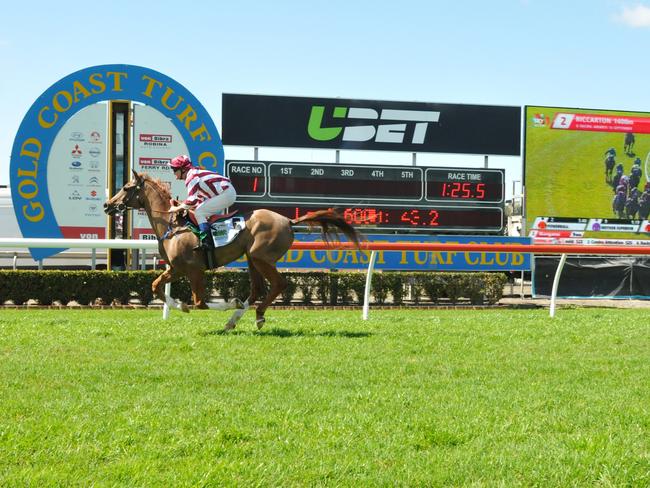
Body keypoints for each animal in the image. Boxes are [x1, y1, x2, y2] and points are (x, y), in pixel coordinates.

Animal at [104, 170, 362, 330]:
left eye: (126, 187)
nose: (107, 204)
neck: (173, 226)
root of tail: (289, 220)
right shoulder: (176, 268)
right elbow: (156, 286)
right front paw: (181, 305)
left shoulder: (194, 270)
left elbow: (200, 302)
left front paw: (224, 303)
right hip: (251, 258)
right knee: (257, 290)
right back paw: (235, 320)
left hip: (260, 257)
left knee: (278, 284)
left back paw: (256, 315)